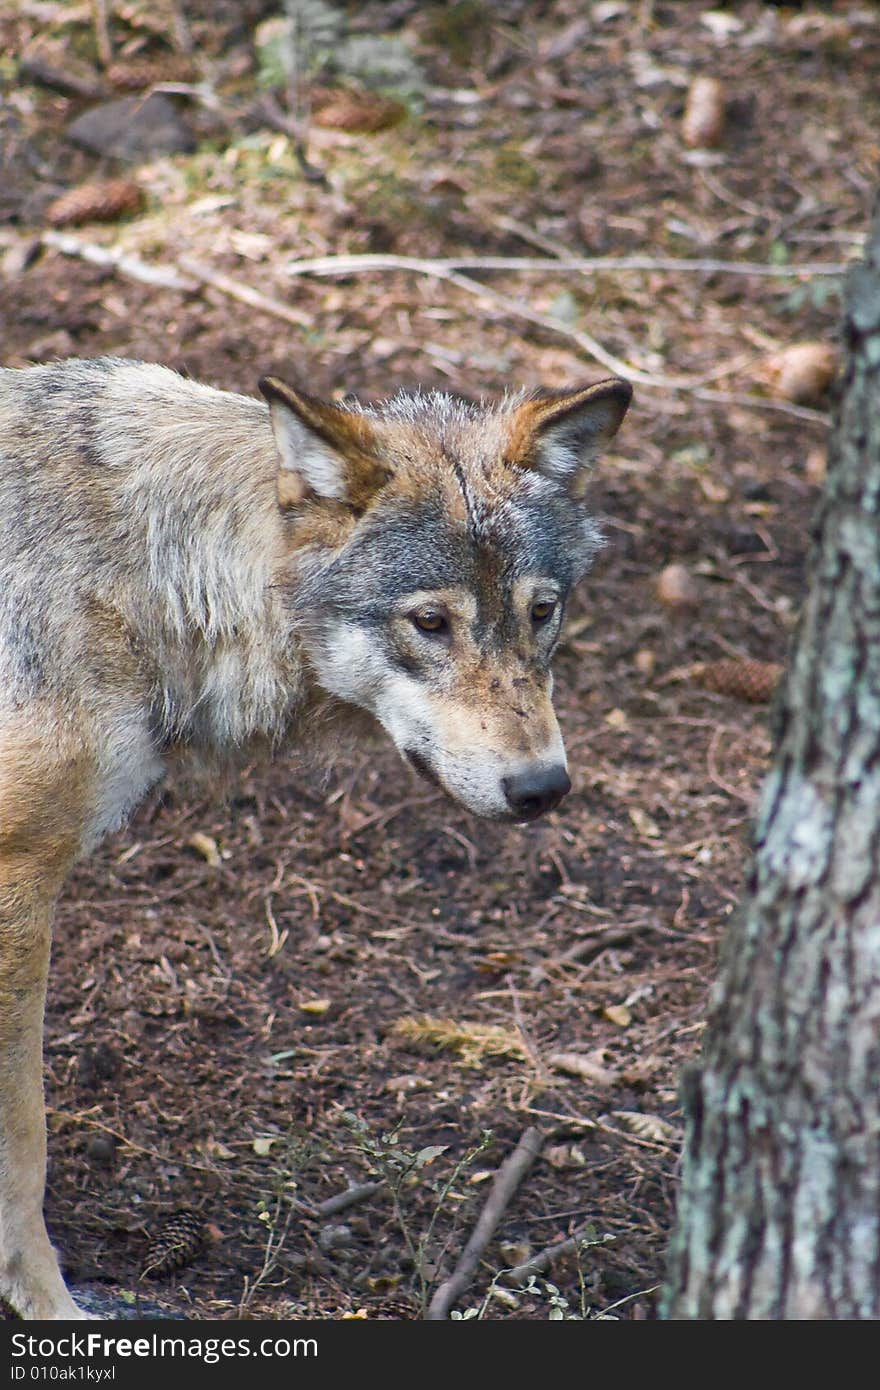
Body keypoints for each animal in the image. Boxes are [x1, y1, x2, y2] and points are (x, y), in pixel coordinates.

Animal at [0, 355, 631, 1312]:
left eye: (542, 612)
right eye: (430, 623)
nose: (542, 788)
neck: (134, 572)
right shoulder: (18, 880)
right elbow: (24, 1141)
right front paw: (46, 1300)